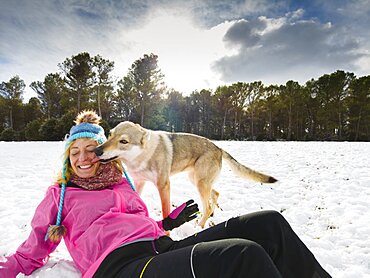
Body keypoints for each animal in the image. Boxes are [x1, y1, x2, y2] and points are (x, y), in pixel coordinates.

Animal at [94, 122, 276, 228]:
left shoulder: (163, 186)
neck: (143, 156)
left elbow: (166, 212)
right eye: (110, 135)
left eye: (123, 141)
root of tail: (218, 147)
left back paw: (199, 226)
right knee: (215, 195)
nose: (97, 150)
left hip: (200, 183)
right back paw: (211, 215)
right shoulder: (138, 182)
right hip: (196, 180)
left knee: (207, 205)